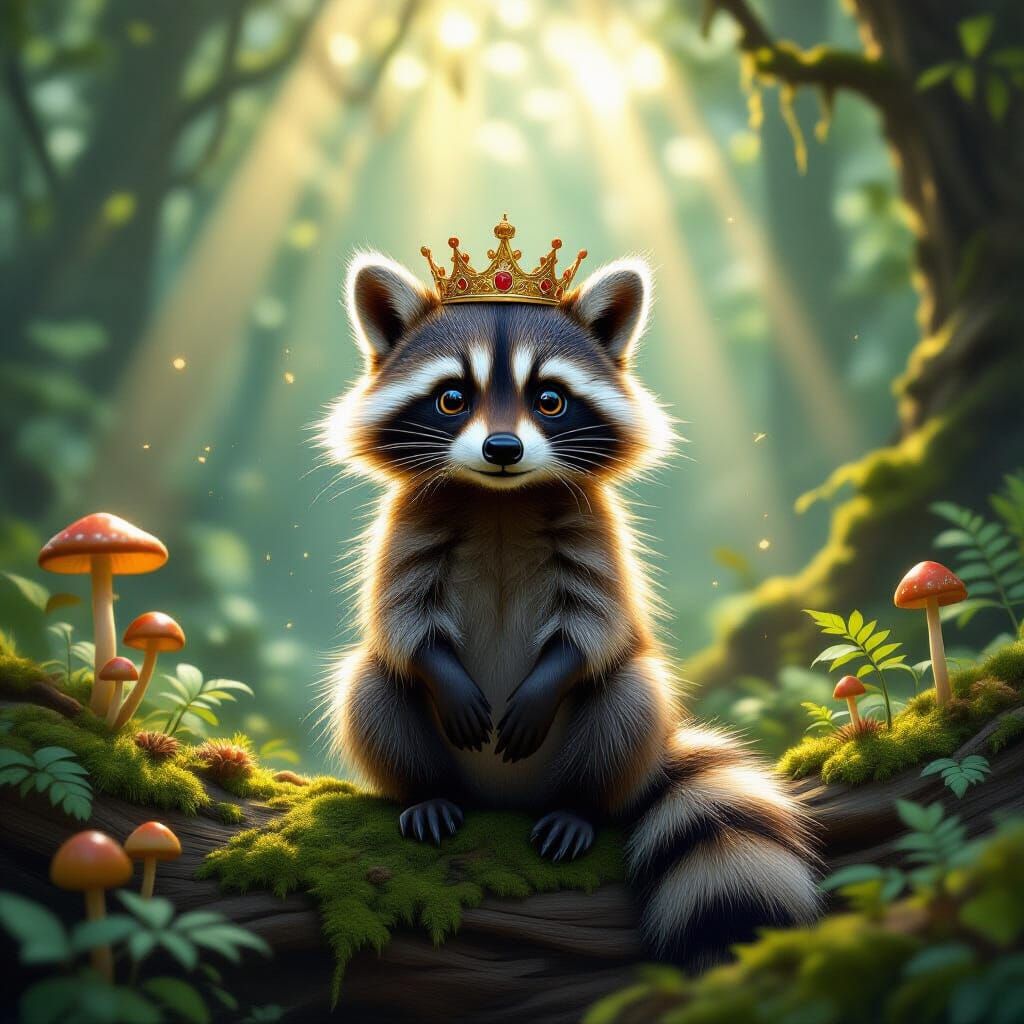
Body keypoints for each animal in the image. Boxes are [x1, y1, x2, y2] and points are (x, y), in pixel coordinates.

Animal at [320, 247, 820, 967]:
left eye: (549, 400)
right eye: (452, 398)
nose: (503, 450)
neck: (499, 498)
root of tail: (503, 799)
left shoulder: (594, 528)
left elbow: (598, 626)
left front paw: (545, 685)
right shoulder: (409, 524)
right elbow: (400, 621)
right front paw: (443, 676)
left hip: (615, 735)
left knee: (631, 692)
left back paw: (579, 806)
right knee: (369, 685)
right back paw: (427, 792)